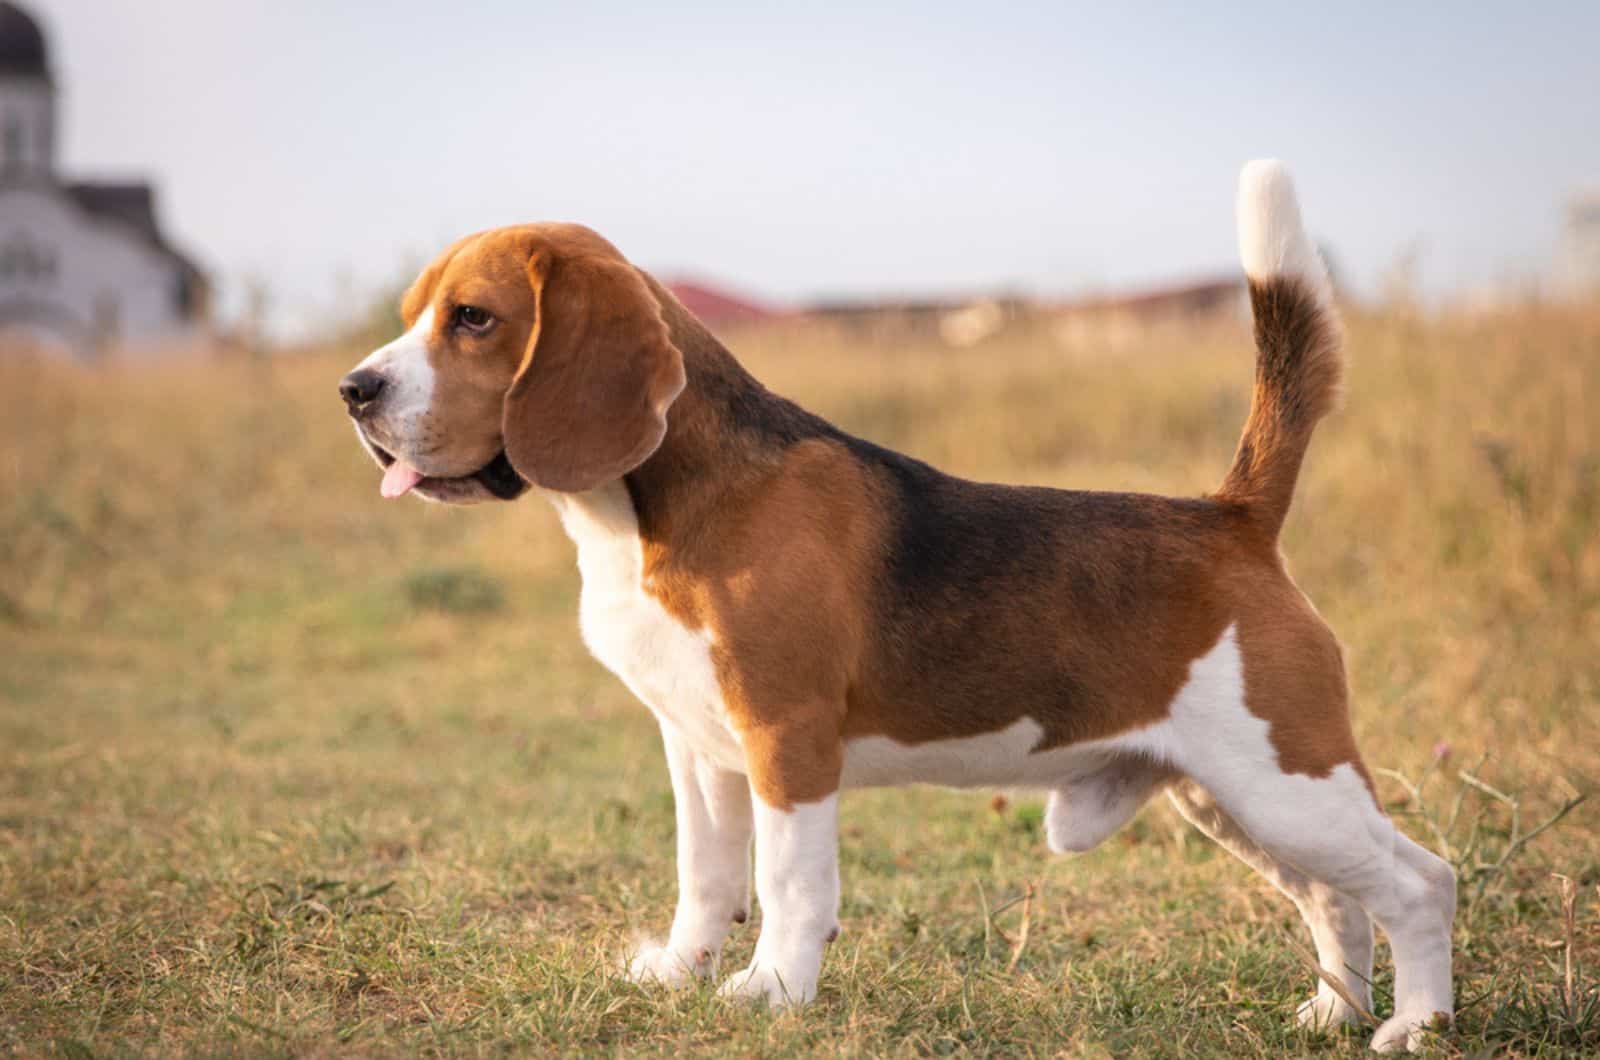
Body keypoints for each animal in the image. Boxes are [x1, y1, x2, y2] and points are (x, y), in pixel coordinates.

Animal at [344, 161, 1459, 1050]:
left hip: (1287, 780)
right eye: (412, 313)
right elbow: (706, 875)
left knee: (1419, 882)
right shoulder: (697, 748)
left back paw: (1412, 1025)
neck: (649, 509)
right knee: (1335, 898)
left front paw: (772, 991)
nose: (353, 390)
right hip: (1231, 797)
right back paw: (1332, 1012)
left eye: (473, 319)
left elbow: (790, 883)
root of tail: (1232, 516)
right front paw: (680, 971)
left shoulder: (786, 740)